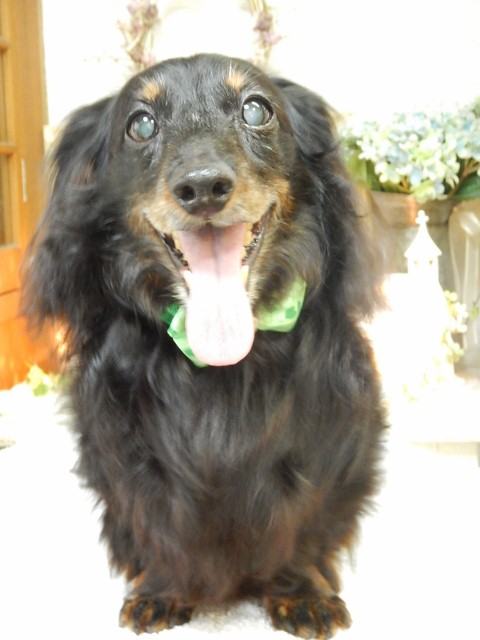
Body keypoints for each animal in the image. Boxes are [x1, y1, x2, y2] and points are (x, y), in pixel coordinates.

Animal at [24, 53, 386, 638]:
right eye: (140, 124)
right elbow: (154, 523)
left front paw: (301, 592)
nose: (203, 187)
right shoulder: (125, 455)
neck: (220, 360)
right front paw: (163, 590)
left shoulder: (328, 445)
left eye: (256, 110)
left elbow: (307, 522)